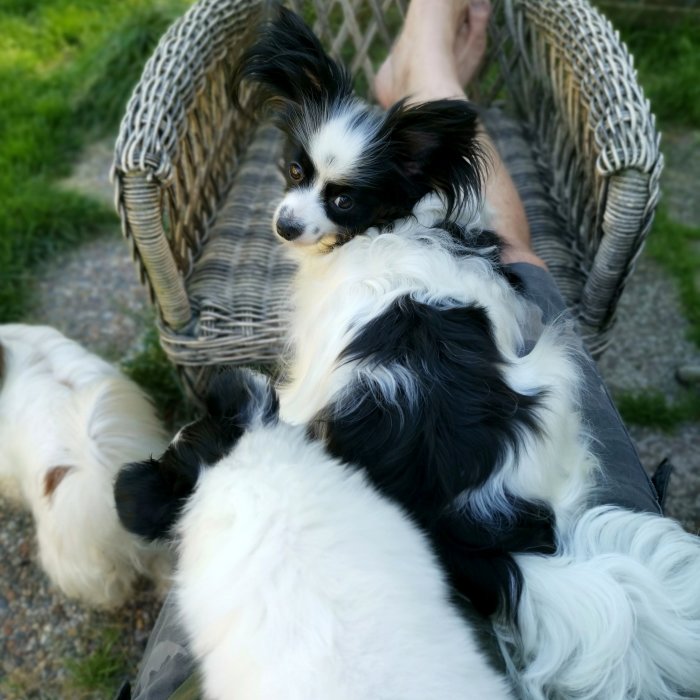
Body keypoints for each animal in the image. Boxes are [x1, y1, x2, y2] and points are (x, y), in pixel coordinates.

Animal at [232, 6, 700, 700]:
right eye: (296, 171)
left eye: (343, 200)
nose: (286, 225)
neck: (383, 228)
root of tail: (481, 531)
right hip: (555, 375)